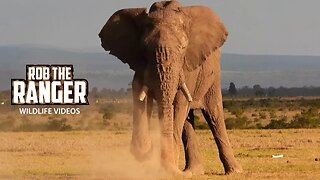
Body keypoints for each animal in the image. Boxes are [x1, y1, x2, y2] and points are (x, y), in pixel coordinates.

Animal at [99, 0, 241, 176]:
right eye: (144, 48)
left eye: (183, 48)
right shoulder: (140, 64)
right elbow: (139, 93)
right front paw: (144, 152)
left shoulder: (188, 66)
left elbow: (179, 104)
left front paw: (168, 169)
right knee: (188, 121)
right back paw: (192, 172)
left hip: (213, 77)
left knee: (214, 115)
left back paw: (234, 172)